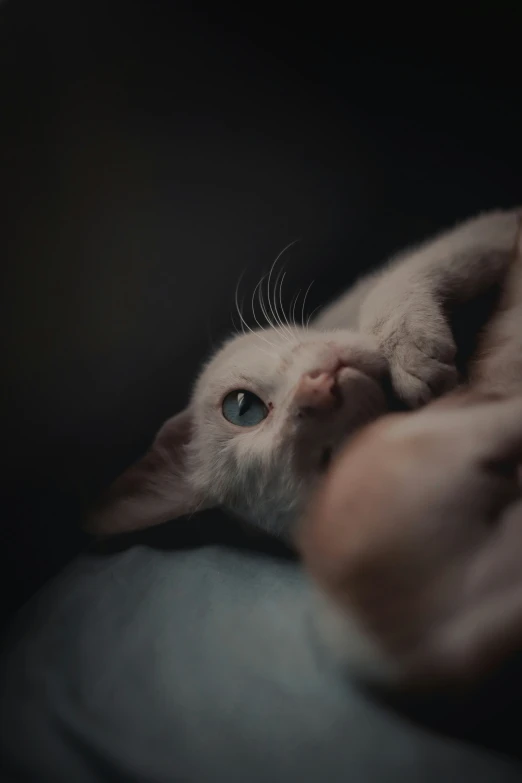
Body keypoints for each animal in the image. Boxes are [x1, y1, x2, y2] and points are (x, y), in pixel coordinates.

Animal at [87, 208, 516, 540]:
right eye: (331, 460)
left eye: (242, 407)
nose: (320, 390)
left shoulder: (480, 234)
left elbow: (406, 277)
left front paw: (408, 350)